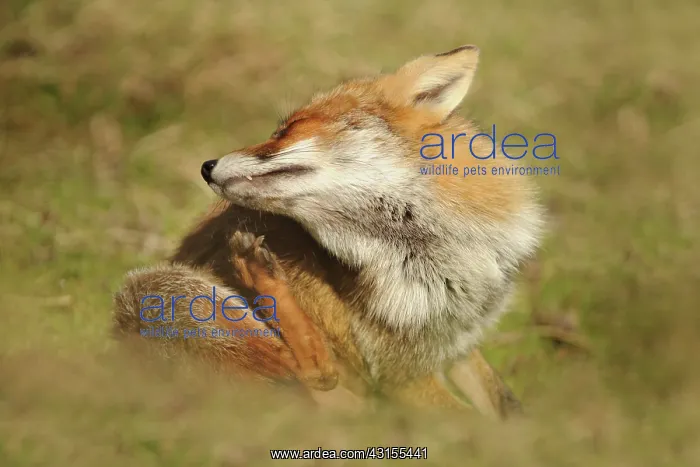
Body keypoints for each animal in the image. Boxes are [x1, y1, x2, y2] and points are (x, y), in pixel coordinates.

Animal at [113, 44, 543, 417]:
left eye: (289, 128)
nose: (206, 166)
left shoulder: (456, 341)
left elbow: (506, 408)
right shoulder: (397, 374)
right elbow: (471, 423)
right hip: (159, 291)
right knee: (317, 381)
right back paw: (261, 275)